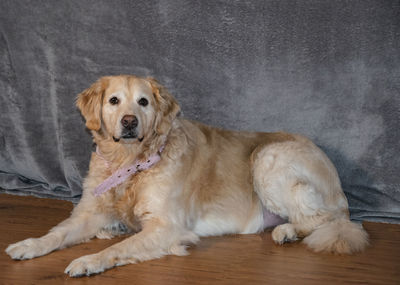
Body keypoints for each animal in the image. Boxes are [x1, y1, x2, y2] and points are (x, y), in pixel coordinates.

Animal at [5, 75, 368, 276]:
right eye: (114, 100)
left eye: (143, 102)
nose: (129, 122)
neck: (132, 162)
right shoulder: (90, 212)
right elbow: (57, 234)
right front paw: (29, 245)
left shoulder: (168, 227)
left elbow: (120, 248)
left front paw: (88, 261)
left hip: (267, 158)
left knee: (325, 219)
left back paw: (289, 231)